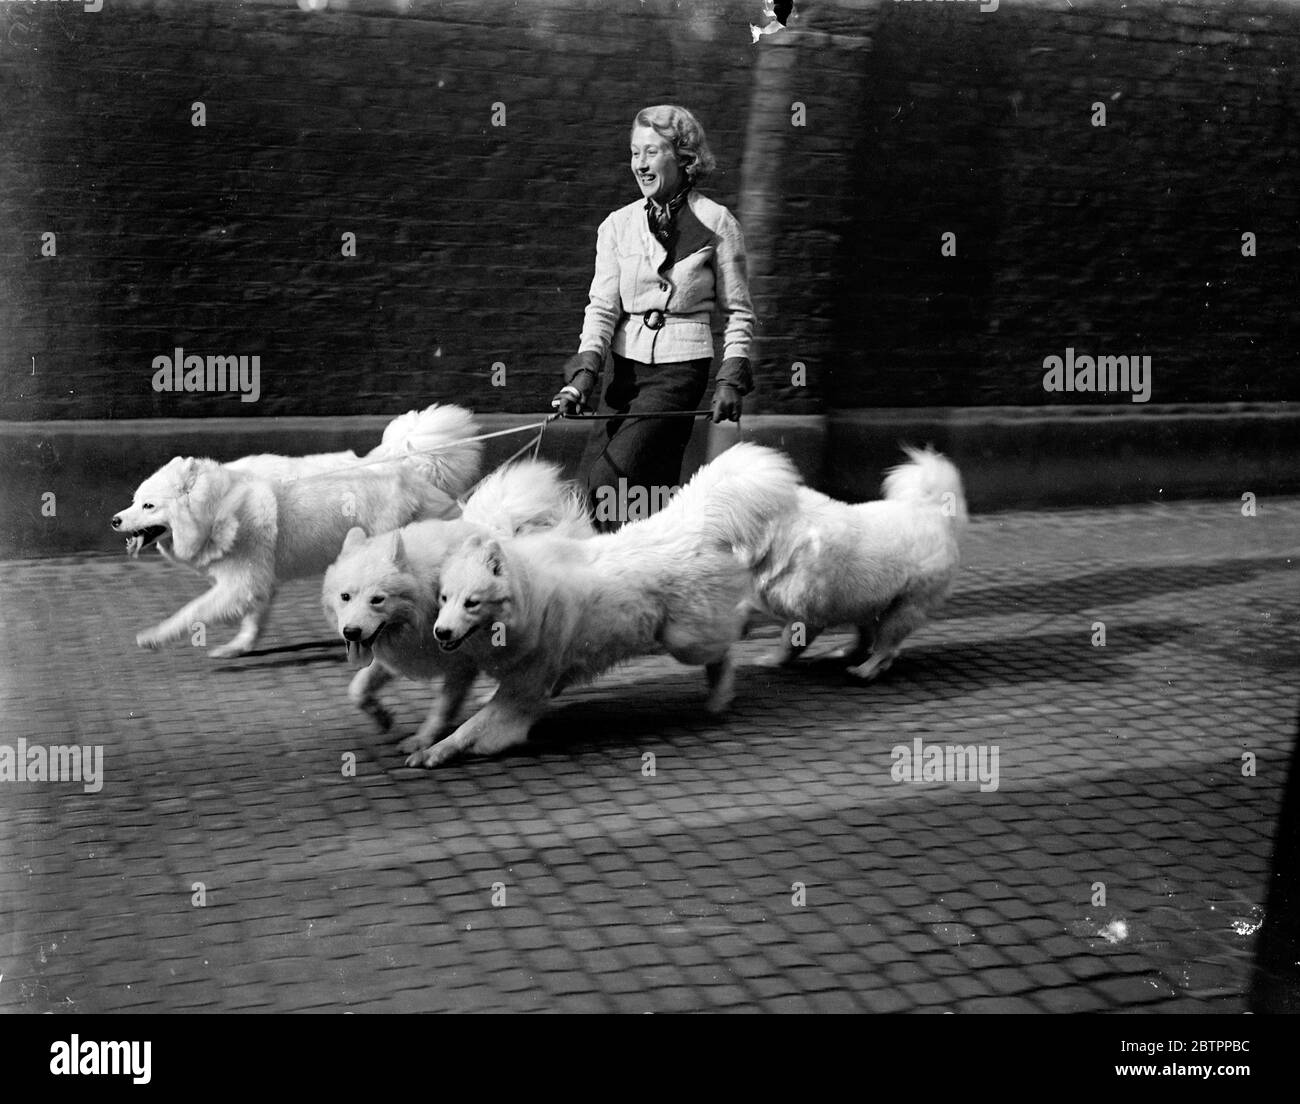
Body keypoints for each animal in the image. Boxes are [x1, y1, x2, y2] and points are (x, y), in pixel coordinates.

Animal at [113, 403, 483, 655]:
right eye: (134, 501)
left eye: (148, 506)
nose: (114, 520)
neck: (220, 505)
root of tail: (407, 463)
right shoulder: (259, 580)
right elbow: (254, 619)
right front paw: (239, 647)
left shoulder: (240, 582)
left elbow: (190, 611)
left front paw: (153, 636)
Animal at [321, 457, 595, 759]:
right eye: (345, 596)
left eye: (377, 600)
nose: (351, 632)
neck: (427, 595)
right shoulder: (400, 651)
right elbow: (357, 689)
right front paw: (382, 718)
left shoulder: (460, 666)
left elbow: (442, 709)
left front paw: (423, 742)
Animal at [416, 444, 800, 769]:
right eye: (444, 598)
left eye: (472, 602)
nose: (441, 632)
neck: (529, 599)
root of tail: (688, 530)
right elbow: (467, 710)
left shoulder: (522, 689)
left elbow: (471, 727)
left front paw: (438, 751)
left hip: (686, 640)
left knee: (726, 651)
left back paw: (721, 696)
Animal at [748, 444, 961, 676]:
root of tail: (932, 513)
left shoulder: (807, 615)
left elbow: (789, 641)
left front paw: (774, 659)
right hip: (868, 604)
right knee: (869, 640)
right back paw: (844, 653)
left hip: (902, 610)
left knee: (884, 648)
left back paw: (864, 670)